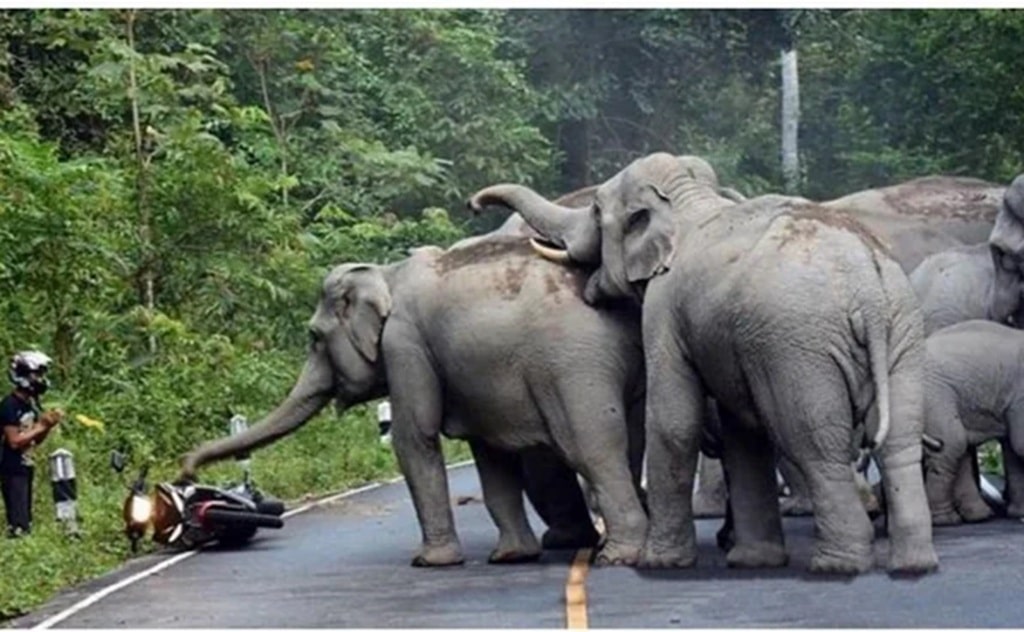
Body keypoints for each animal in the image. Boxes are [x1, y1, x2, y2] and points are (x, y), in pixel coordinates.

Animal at [180, 235, 648, 567]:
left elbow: (413, 437)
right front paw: (510, 556)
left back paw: (618, 555)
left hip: (573, 366)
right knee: (632, 441)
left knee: (591, 448)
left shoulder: (404, 344)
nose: (186, 472)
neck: (385, 274)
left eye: (313, 337)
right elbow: (490, 455)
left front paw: (428, 562)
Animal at [470, 152, 939, 575]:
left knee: (814, 443)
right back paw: (913, 564)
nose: (474, 204)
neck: (687, 200)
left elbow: (673, 421)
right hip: (902, 333)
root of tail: (868, 289)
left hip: (801, 348)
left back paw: (837, 565)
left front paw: (660, 562)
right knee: (899, 440)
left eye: (598, 211)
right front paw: (752, 561)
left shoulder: (664, 309)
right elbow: (741, 433)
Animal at [921, 320, 1024, 525]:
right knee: (951, 444)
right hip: (935, 396)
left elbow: (1012, 448)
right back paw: (947, 520)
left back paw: (978, 516)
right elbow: (1020, 445)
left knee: (960, 448)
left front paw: (1019, 513)